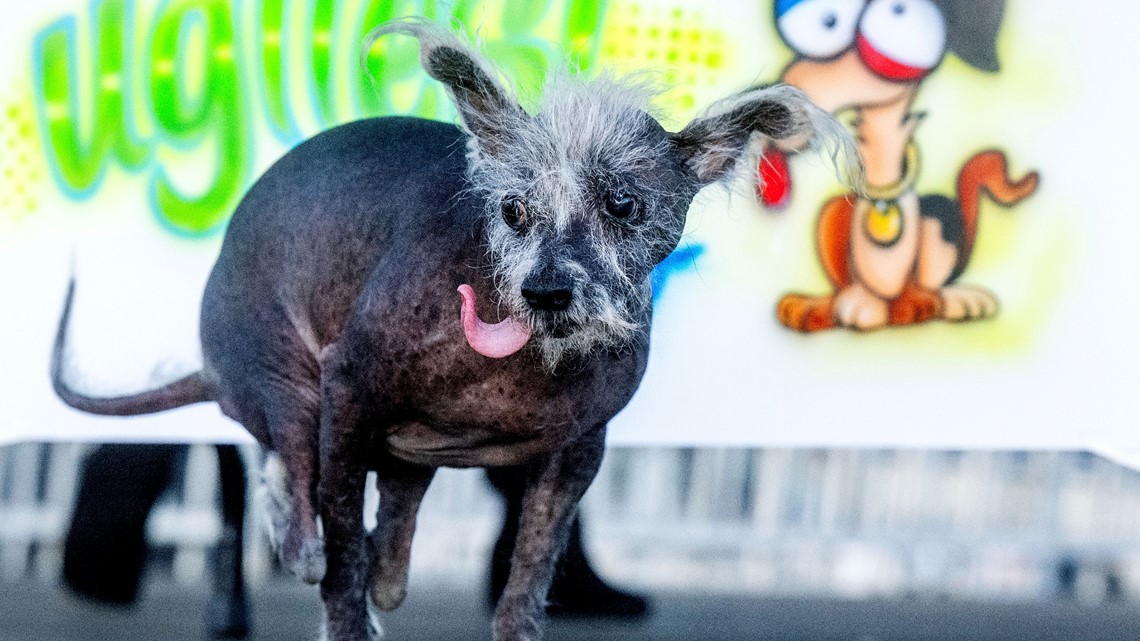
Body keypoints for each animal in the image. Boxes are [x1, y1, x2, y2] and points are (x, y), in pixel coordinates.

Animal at [49, 17, 857, 634]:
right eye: (514, 210)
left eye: (622, 203)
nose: (545, 290)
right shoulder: (348, 393)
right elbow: (341, 556)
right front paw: (346, 615)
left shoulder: (577, 456)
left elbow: (526, 579)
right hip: (286, 385)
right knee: (296, 490)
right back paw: (292, 526)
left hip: (407, 455)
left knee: (391, 538)